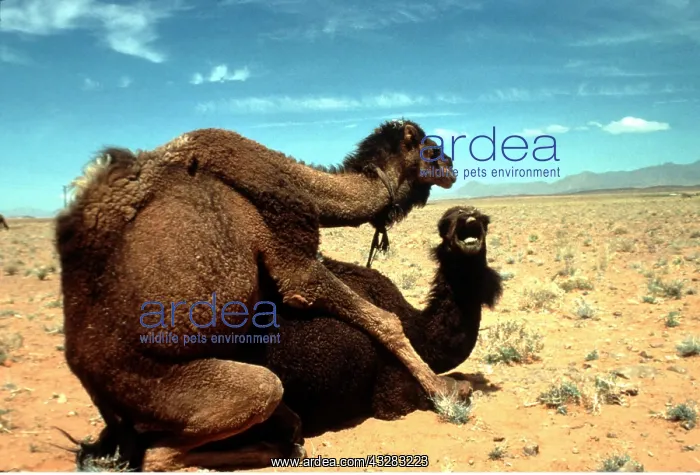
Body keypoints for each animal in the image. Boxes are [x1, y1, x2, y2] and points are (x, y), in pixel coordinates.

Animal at [56, 121, 467, 469]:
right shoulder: (288, 249)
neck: (304, 187)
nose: (452, 169)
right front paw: (446, 389)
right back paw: (281, 447)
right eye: (431, 149)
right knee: (162, 452)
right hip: (163, 388)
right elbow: (384, 319)